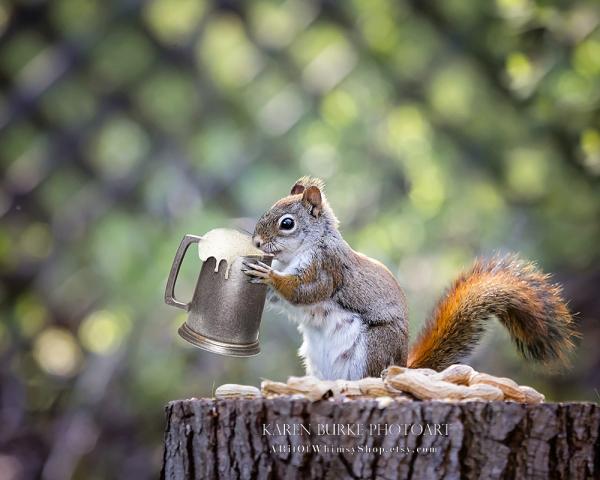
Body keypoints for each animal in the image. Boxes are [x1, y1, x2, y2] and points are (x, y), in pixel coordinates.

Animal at [241, 174, 580, 380]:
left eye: (287, 223)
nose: (256, 242)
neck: (301, 250)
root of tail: (402, 366)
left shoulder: (328, 267)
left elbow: (306, 291)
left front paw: (270, 277)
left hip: (374, 347)